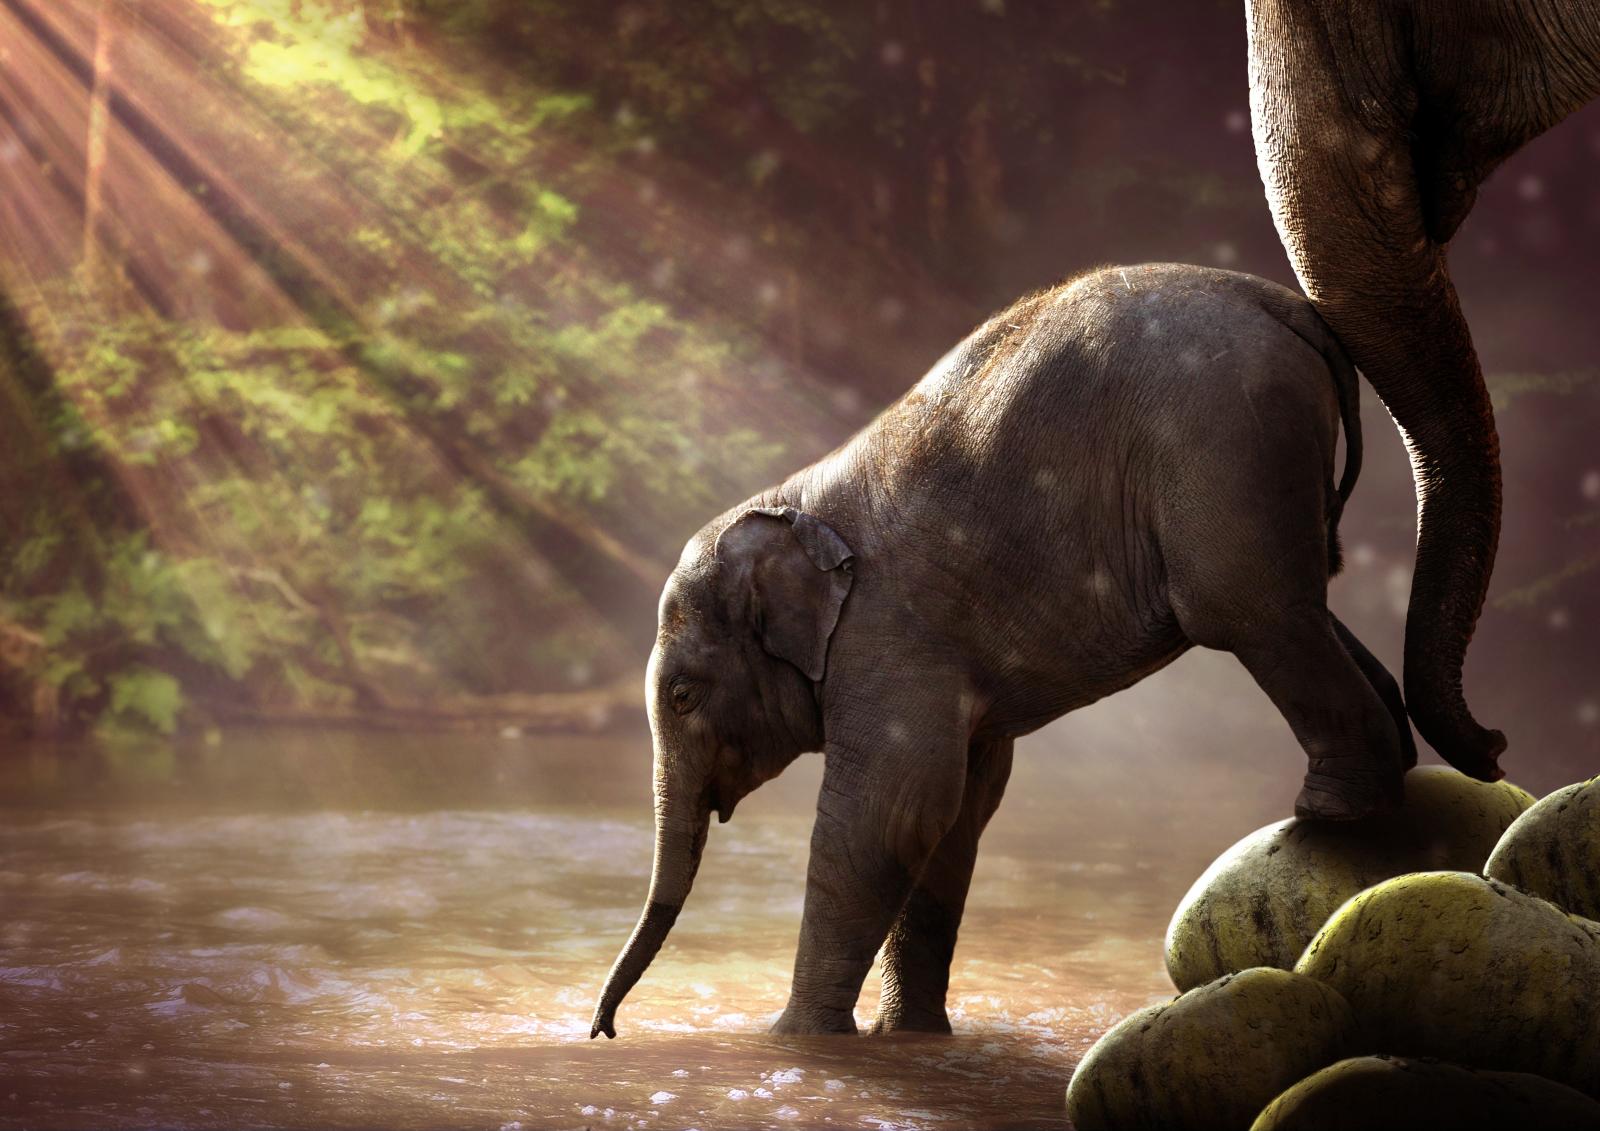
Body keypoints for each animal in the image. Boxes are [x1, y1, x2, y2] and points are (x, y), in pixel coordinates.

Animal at [590, 263, 1421, 1040]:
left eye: (683, 696)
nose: (603, 1028)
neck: (792, 502)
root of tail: (1283, 304)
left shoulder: (889, 636)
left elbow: (892, 809)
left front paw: (796, 1041)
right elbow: (958, 810)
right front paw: (909, 1036)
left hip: (1224, 445)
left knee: (1249, 610)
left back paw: (1331, 805)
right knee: (1304, 604)